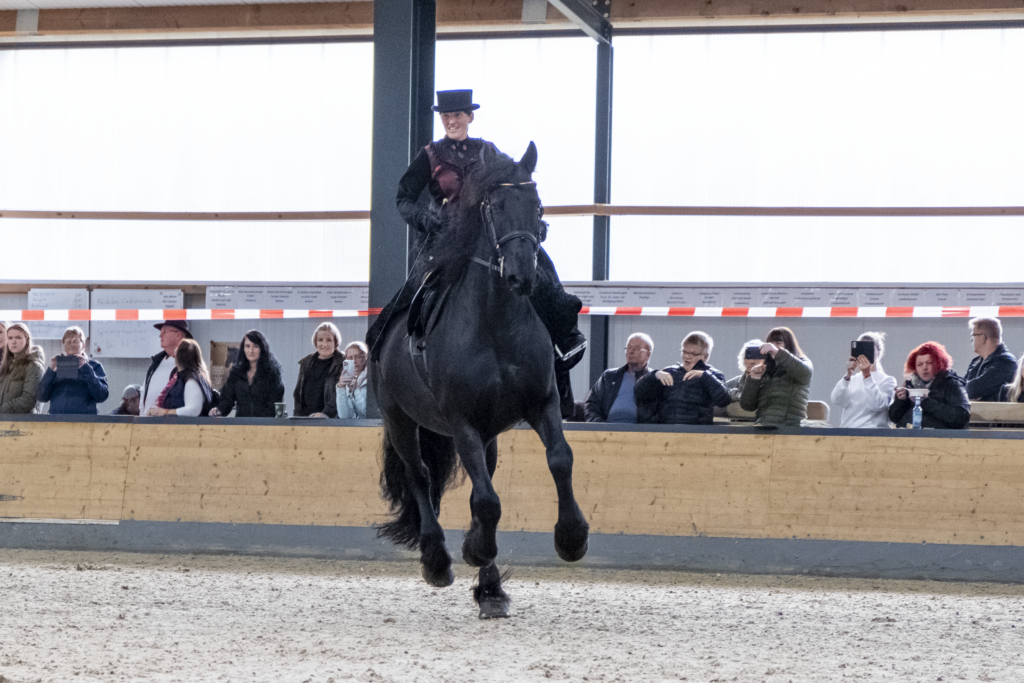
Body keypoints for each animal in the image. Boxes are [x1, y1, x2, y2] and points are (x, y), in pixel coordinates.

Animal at [372, 143, 589, 618]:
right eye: (495, 206)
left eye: (537, 206)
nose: (522, 275)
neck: (495, 325)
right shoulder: (462, 423)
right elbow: (488, 501)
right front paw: (475, 551)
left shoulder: (542, 404)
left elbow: (560, 460)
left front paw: (572, 538)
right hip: (400, 421)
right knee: (420, 477)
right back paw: (438, 560)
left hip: (488, 432)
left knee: (477, 482)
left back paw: (488, 586)